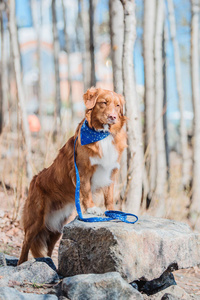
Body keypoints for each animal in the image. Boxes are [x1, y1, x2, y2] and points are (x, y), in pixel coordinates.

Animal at [17, 87, 126, 264]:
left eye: (117, 106)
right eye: (104, 103)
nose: (113, 117)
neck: (102, 134)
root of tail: (34, 179)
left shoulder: (111, 172)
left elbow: (109, 197)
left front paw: (112, 211)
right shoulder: (83, 171)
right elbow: (87, 191)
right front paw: (92, 208)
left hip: (56, 227)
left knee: (49, 247)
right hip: (36, 218)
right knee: (26, 241)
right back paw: (21, 263)